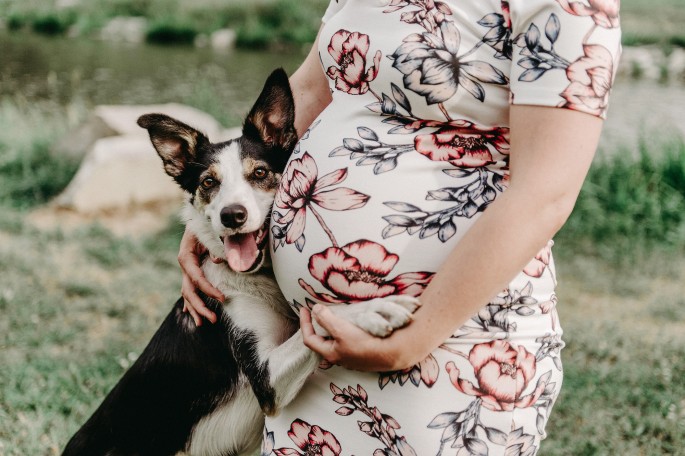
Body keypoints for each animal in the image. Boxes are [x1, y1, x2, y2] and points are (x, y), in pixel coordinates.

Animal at [62, 68, 416, 456]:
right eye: (208, 182)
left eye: (259, 173)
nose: (232, 215)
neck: (256, 280)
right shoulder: (266, 382)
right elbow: (319, 320)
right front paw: (370, 310)